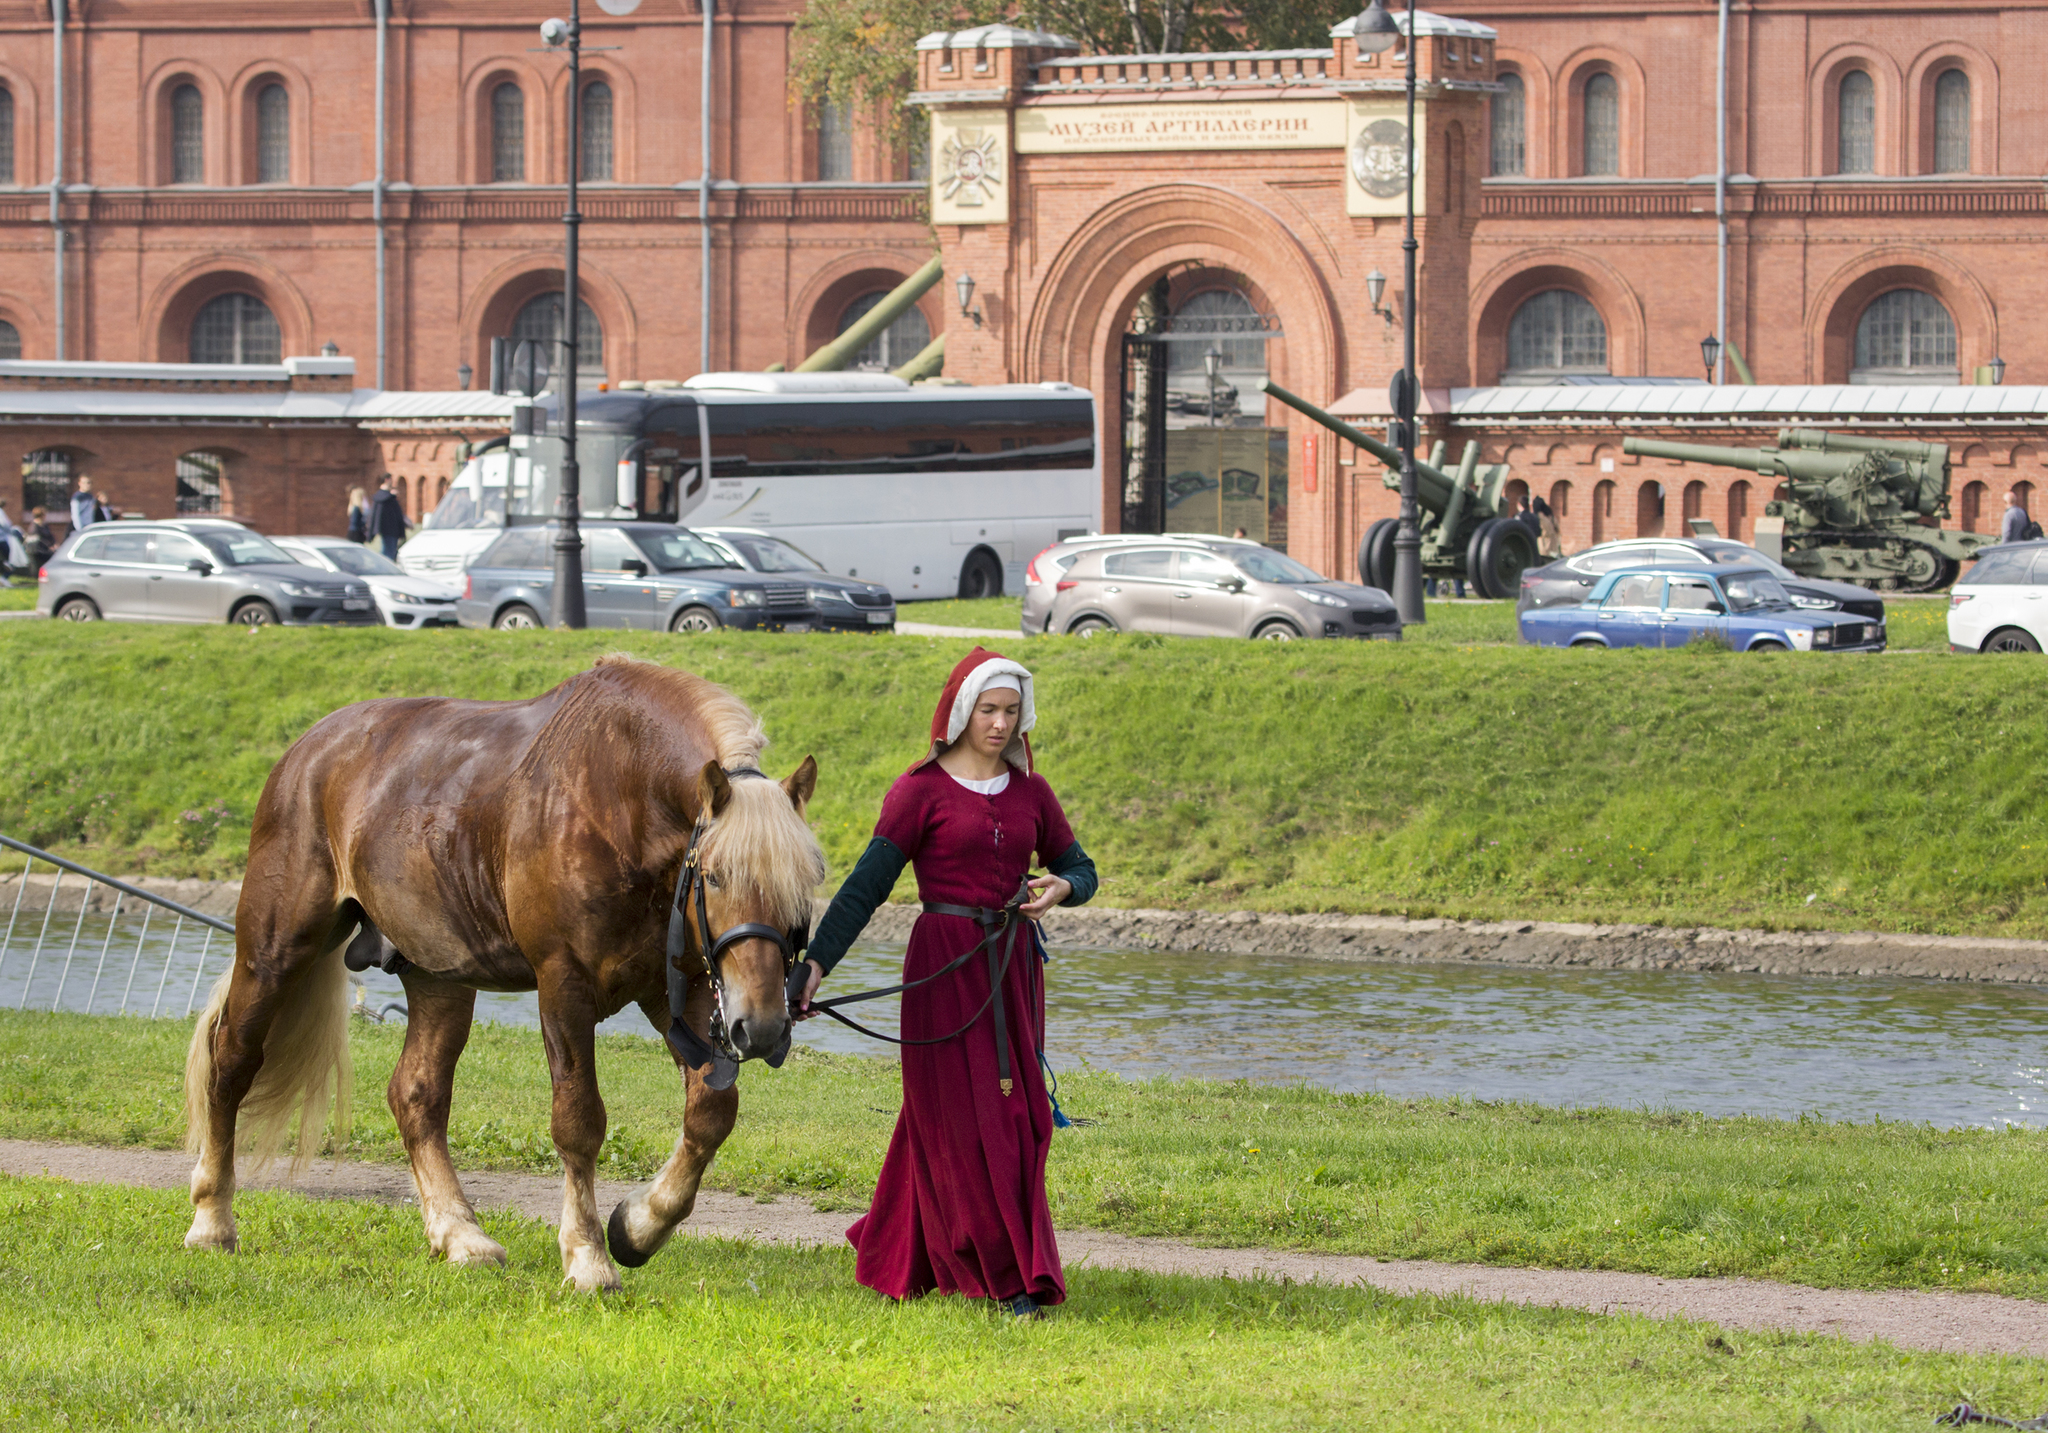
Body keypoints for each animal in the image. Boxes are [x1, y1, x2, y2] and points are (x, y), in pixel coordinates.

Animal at [182, 655, 823, 1293]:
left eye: (807, 881)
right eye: (715, 875)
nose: (762, 1027)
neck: (621, 793)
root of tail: (307, 750)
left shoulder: (681, 992)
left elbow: (711, 1115)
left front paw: (639, 1227)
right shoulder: (564, 985)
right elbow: (579, 1122)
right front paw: (588, 1255)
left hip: (439, 976)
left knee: (416, 1094)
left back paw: (459, 1234)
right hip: (275, 951)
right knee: (231, 1060)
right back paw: (212, 1220)